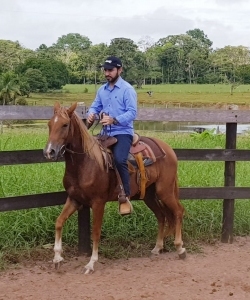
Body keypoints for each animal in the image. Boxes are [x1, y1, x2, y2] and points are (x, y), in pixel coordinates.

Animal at [43, 102, 186, 274]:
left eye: (65, 125)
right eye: (50, 124)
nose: (49, 152)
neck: (86, 163)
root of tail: (168, 149)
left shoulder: (98, 203)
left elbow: (96, 232)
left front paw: (91, 263)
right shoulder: (74, 199)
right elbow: (59, 222)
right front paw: (57, 258)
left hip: (165, 191)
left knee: (178, 212)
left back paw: (180, 248)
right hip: (149, 195)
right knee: (161, 216)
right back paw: (157, 248)